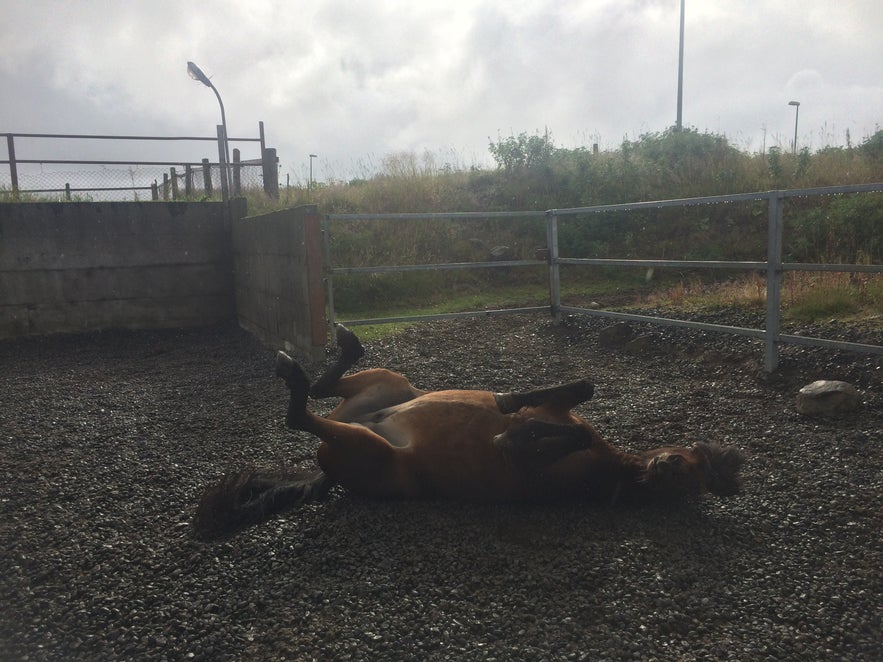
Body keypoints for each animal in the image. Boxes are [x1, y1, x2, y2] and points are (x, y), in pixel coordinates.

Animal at [192, 326, 740, 540]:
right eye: (688, 462)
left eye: (687, 478)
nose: (665, 464)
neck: (614, 468)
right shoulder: (563, 407)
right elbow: (580, 387)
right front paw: (510, 402)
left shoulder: (536, 471)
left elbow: (537, 442)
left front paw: (511, 431)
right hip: (389, 383)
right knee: (333, 386)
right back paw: (341, 347)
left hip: (370, 448)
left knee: (301, 417)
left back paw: (296, 375)